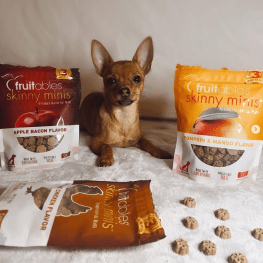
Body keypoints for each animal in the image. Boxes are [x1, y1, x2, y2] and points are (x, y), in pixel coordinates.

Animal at [80, 36, 173, 167]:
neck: (124, 116)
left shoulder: (139, 139)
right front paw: (106, 158)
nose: (124, 91)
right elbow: (106, 146)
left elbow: (149, 143)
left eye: (137, 79)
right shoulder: (96, 142)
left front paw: (161, 152)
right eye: (111, 81)